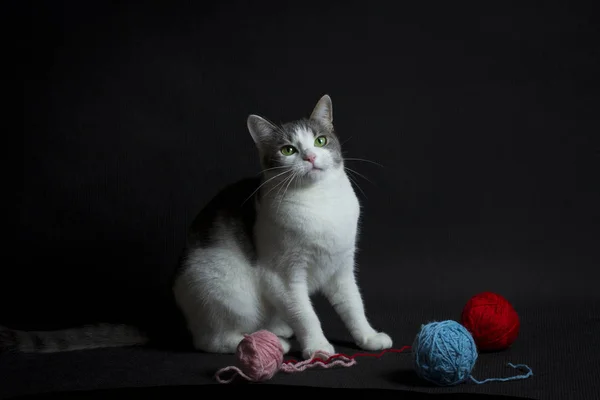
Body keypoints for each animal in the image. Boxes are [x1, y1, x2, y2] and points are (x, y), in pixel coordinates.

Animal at [0, 94, 392, 360]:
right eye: (288, 150)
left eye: (321, 141)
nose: (310, 157)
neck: (320, 203)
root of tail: (180, 316)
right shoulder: (283, 275)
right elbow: (306, 315)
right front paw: (319, 347)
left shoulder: (341, 268)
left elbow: (353, 306)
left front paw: (368, 338)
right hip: (223, 284)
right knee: (209, 341)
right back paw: (266, 341)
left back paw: (277, 328)